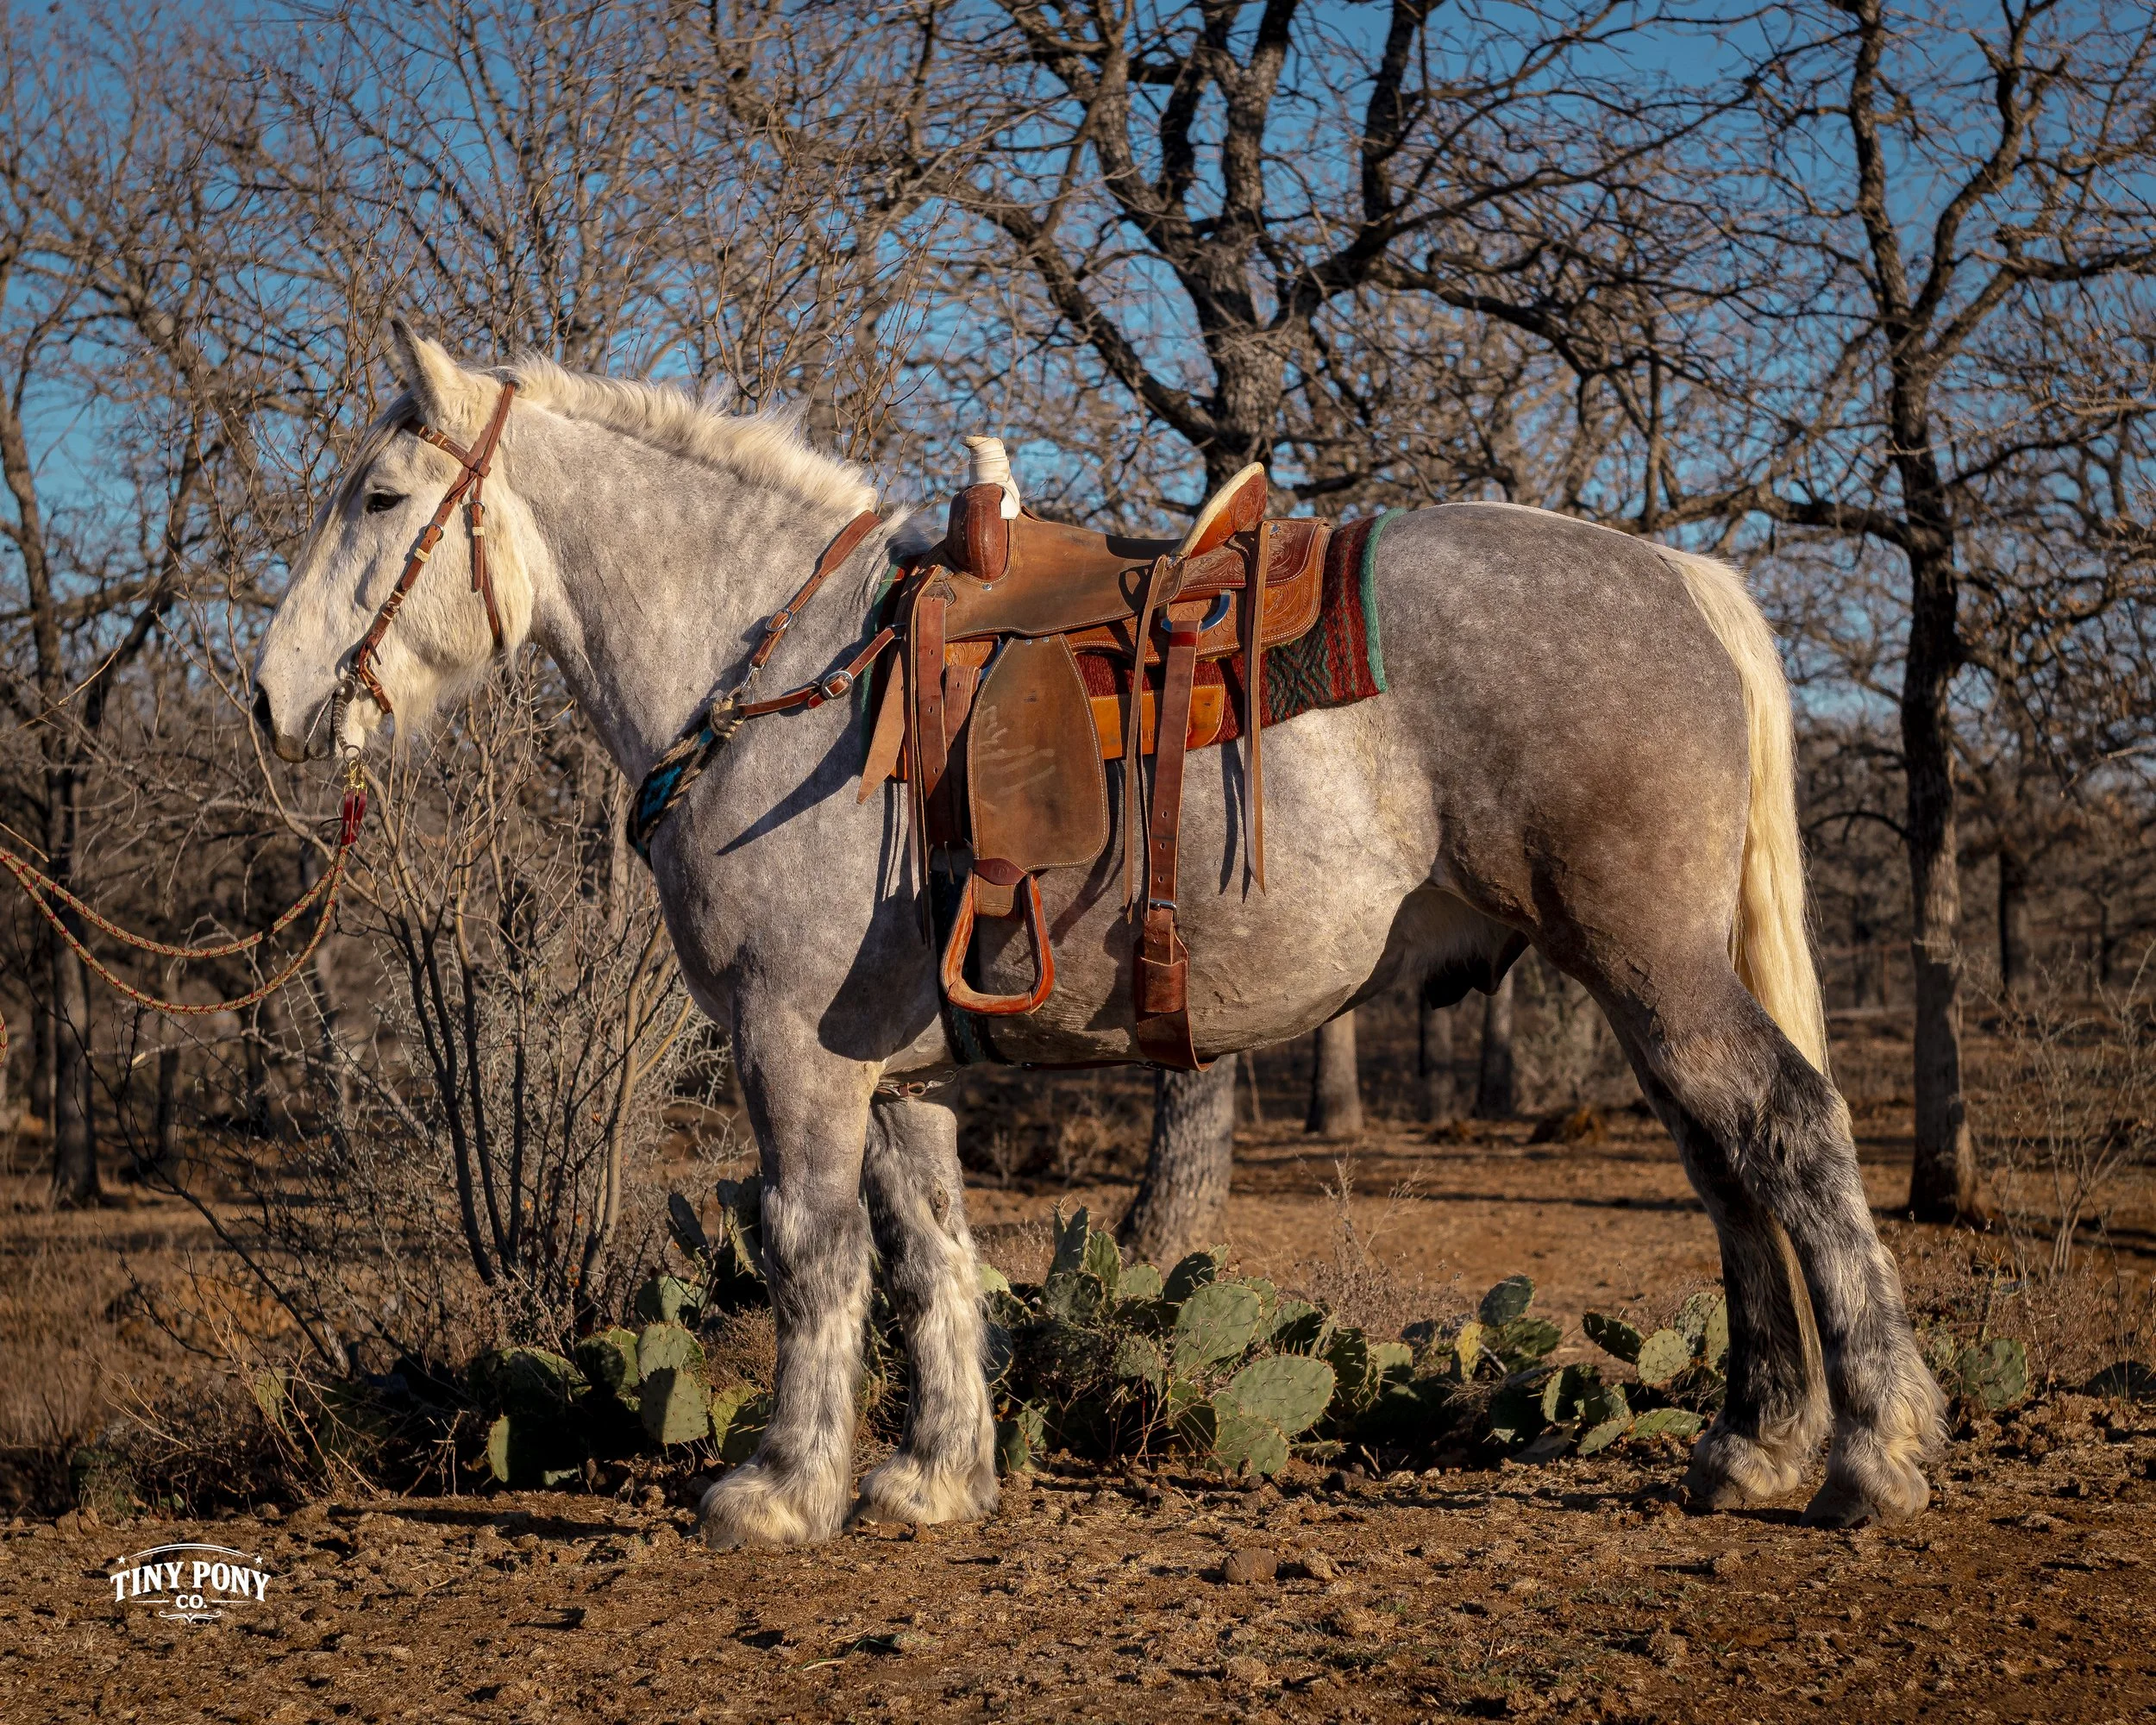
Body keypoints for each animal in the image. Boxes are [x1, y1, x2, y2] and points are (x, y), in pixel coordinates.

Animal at [252, 322, 1945, 1548]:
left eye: (382, 500)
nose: (271, 699)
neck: (777, 664)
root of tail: (1678, 573)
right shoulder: (895, 1075)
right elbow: (931, 1255)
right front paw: (933, 1481)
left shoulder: (792, 1053)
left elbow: (810, 1254)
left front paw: (778, 1491)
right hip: (1641, 978)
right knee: (1726, 1166)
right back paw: (1754, 1446)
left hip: (1658, 970)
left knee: (1792, 1132)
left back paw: (1872, 1457)